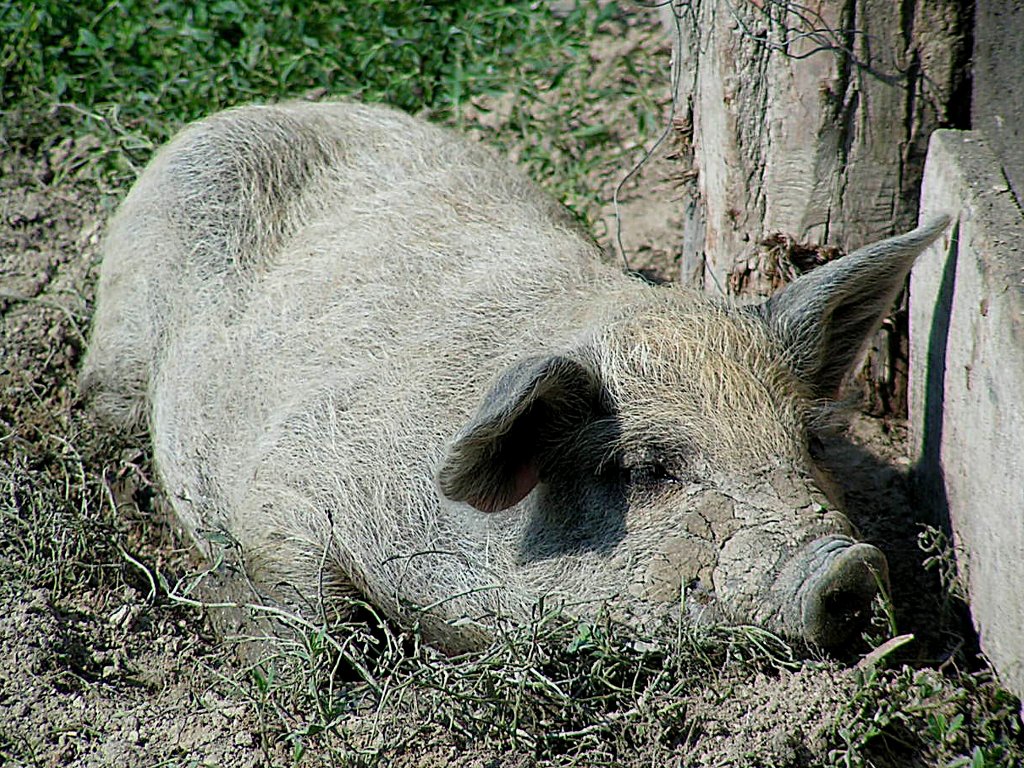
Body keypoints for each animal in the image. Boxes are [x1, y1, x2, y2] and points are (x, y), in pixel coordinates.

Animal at [81, 99, 950, 651]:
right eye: (646, 468)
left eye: (809, 441)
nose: (848, 565)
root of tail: (240, 111)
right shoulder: (283, 481)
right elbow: (303, 610)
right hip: (127, 314)